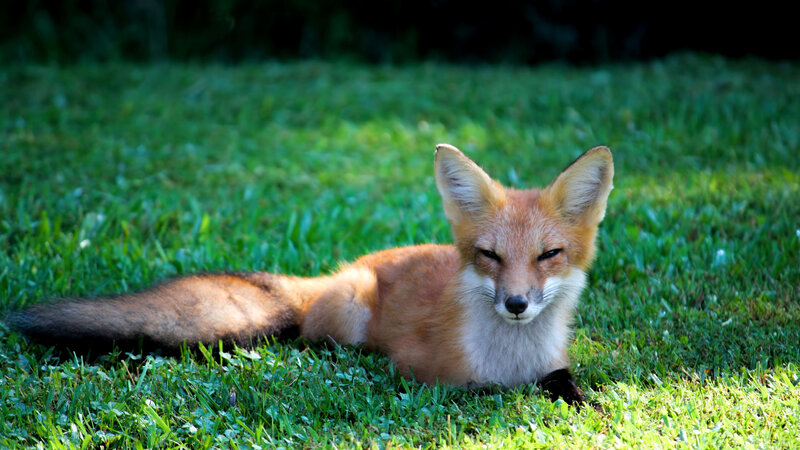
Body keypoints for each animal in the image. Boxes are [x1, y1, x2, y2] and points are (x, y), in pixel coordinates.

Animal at [7, 143, 613, 405]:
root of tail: (340, 271)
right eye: (490, 255)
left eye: (548, 254)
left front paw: (585, 402)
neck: (511, 357)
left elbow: (565, 384)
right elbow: (480, 391)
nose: (516, 304)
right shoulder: (422, 373)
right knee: (309, 338)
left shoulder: (552, 363)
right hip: (348, 316)